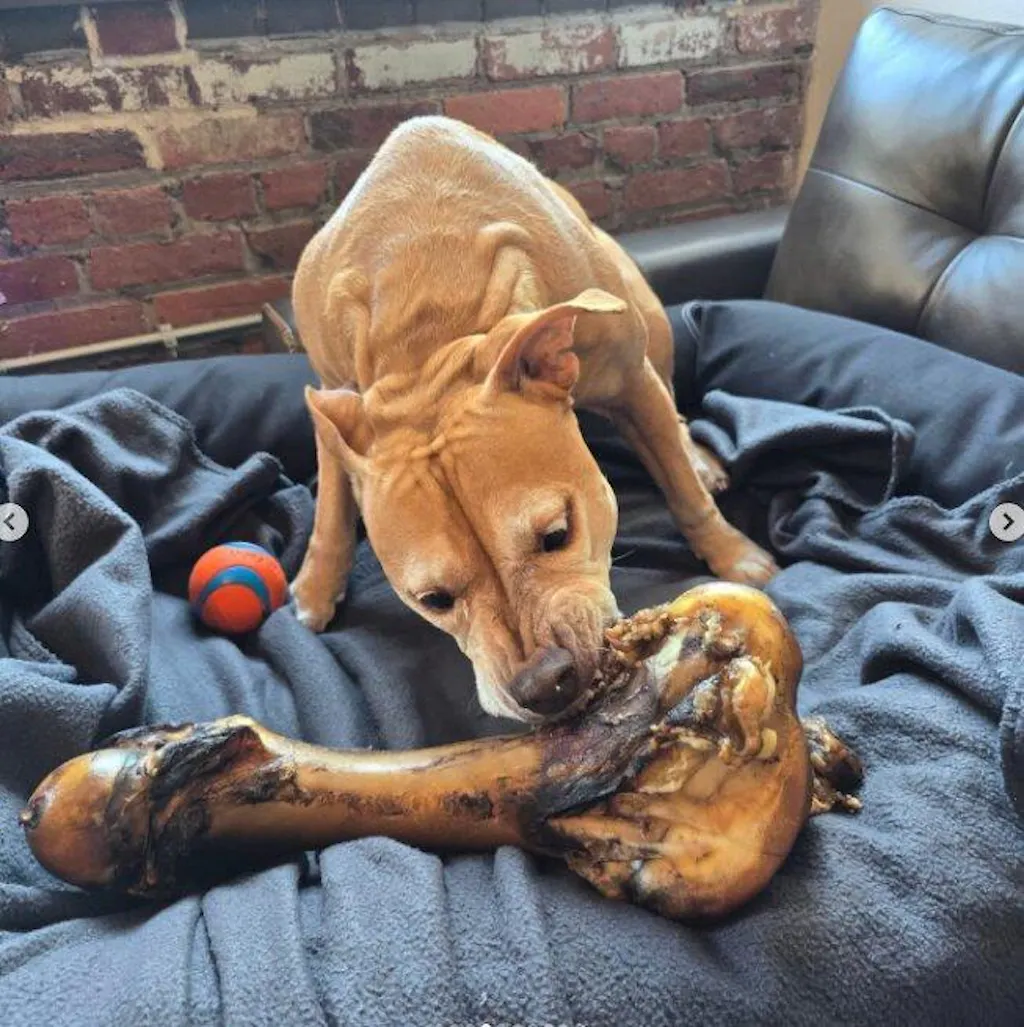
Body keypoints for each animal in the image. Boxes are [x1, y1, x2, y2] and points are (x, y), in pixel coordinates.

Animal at [290, 116, 776, 723]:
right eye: (434, 600)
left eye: (557, 534)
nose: (544, 685)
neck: (429, 333)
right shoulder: (336, 399)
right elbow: (332, 494)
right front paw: (316, 583)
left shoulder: (631, 379)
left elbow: (681, 486)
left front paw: (735, 554)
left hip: (649, 320)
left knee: (673, 414)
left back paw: (698, 459)